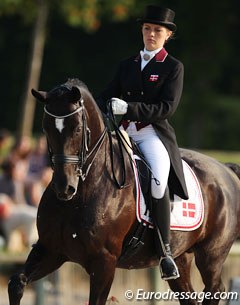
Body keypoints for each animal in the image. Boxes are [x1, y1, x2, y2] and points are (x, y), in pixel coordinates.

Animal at [8, 79, 240, 304]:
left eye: (77, 129)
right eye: (46, 128)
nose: (64, 187)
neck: (81, 194)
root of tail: (226, 169)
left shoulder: (104, 261)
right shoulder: (51, 250)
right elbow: (16, 283)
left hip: (211, 255)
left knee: (215, 289)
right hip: (182, 257)